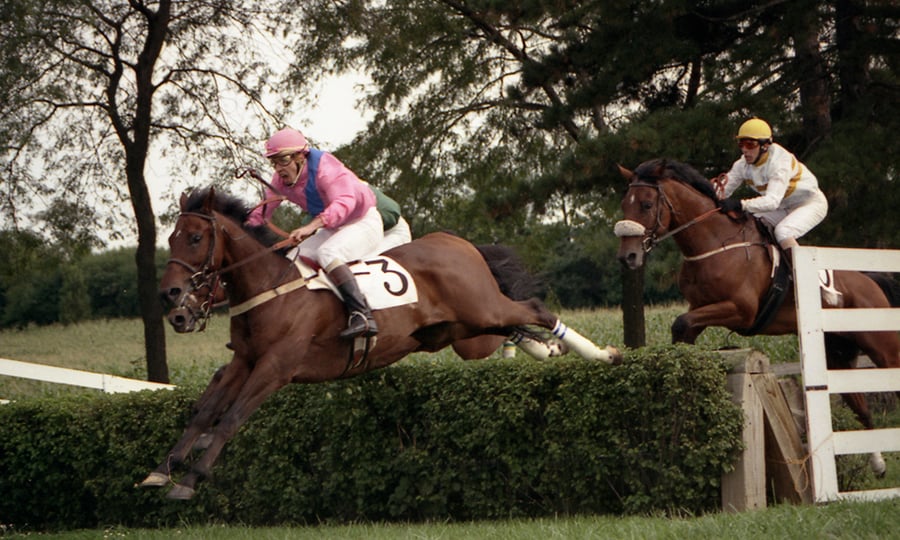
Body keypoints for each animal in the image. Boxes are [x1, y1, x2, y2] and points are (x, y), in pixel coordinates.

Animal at [141, 187, 619, 499]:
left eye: (196, 238)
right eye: (171, 238)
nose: (170, 298)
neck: (272, 287)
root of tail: (460, 244)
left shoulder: (276, 367)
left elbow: (231, 418)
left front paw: (189, 481)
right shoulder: (245, 360)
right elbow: (205, 411)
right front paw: (163, 469)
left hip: (481, 309)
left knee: (534, 308)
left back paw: (602, 354)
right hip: (454, 329)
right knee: (513, 327)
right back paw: (549, 350)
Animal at [614, 158, 900, 477]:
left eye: (647, 204)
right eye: (625, 204)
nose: (628, 257)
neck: (714, 243)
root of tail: (870, 281)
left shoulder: (741, 310)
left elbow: (681, 322)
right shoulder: (700, 307)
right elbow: (682, 327)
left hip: (883, 349)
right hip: (836, 354)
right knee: (861, 406)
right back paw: (878, 464)